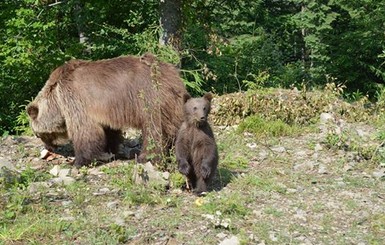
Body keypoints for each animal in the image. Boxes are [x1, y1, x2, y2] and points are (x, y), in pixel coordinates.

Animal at [27, 53, 188, 167]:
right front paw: (109, 151)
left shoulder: (75, 99)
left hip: (148, 98)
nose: (49, 148)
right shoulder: (105, 110)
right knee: (174, 127)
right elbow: (109, 130)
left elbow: (85, 131)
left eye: (38, 134)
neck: (56, 99)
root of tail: (172, 74)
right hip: (172, 103)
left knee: (153, 130)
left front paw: (77, 161)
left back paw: (145, 157)